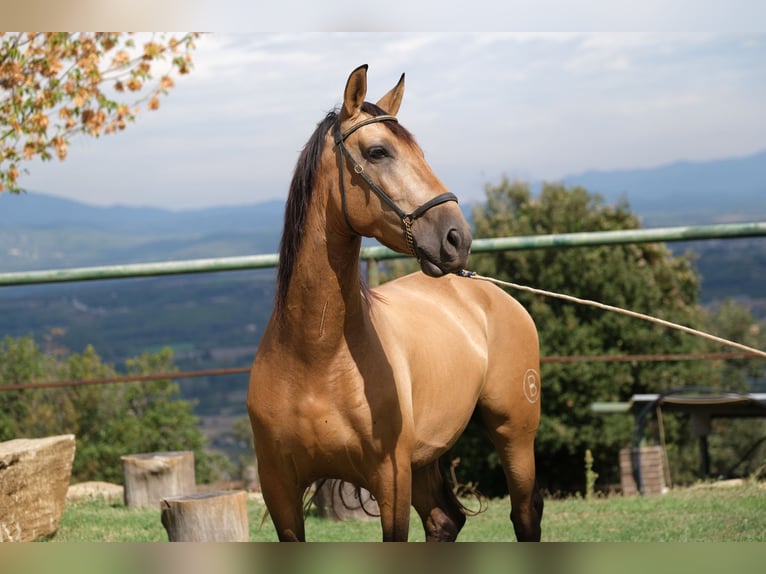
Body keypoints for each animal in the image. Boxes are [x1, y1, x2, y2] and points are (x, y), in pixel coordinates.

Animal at [249, 65, 544, 544]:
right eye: (378, 152)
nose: (457, 238)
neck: (314, 356)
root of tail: (491, 294)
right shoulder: (280, 491)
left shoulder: (390, 480)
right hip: (424, 459)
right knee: (446, 519)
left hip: (513, 435)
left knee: (525, 514)